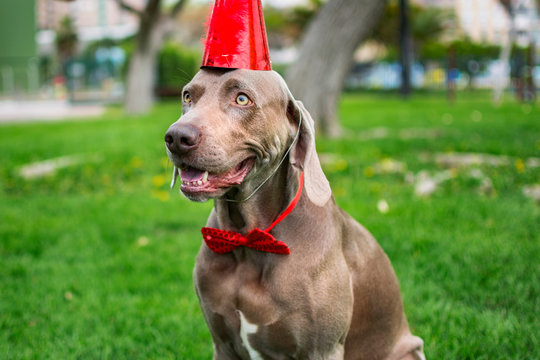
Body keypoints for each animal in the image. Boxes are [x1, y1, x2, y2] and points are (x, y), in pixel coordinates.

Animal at [162, 68, 424, 360]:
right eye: (187, 96)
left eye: (242, 99)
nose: (176, 137)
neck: (247, 239)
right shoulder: (223, 345)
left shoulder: (322, 349)